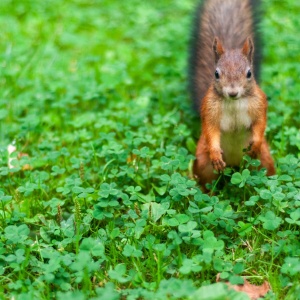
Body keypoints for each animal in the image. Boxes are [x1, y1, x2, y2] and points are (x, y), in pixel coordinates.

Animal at [189, 0, 276, 189]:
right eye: (216, 74)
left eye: (249, 73)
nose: (233, 92)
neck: (235, 103)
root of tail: (235, 164)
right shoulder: (209, 109)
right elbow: (211, 130)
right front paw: (215, 153)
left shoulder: (259, 104)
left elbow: (260, 123)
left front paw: (256, 144)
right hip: (203, 162)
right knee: (207, 183)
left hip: (264, 160)